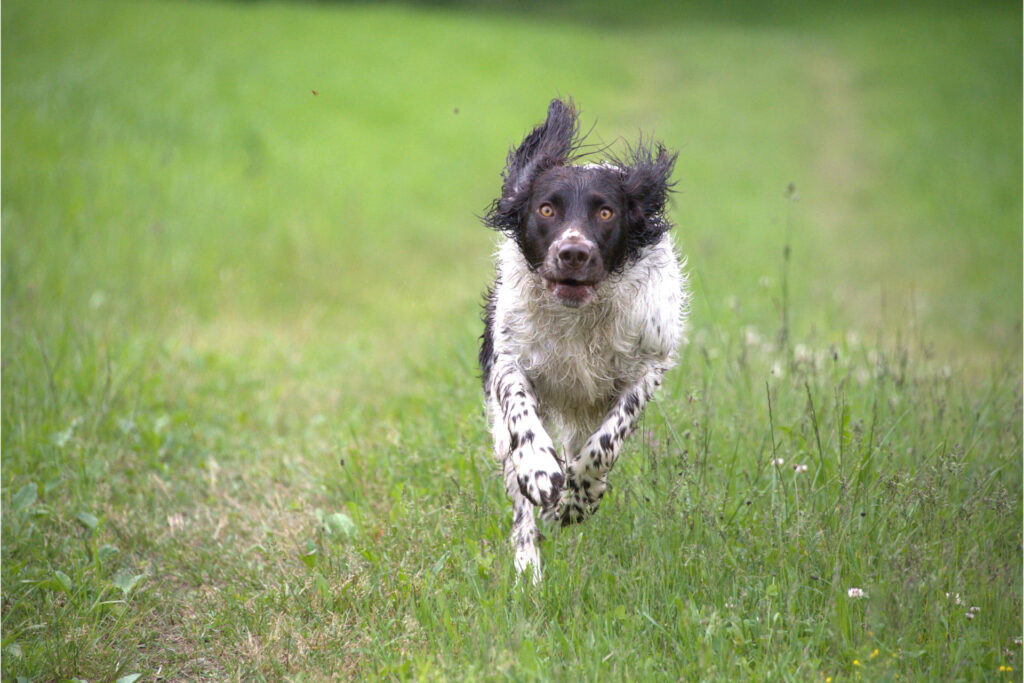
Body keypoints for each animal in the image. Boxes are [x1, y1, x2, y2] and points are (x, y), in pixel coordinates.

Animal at [477, 96, 688, 581]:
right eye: (546, 209)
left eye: (605, 212)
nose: (573, 253)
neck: (579, 317)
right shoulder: (508, 355)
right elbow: (520, 410)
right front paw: (540, 468)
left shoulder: (649, 363)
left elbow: (608, 439)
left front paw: (579, 497)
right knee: (520, 504)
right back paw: (528, 568)